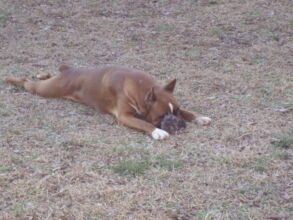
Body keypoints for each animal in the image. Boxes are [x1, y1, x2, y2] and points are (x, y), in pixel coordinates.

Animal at [4, 65, 210, 140]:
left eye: (177, 111)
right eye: (161, 116)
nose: (178, 123)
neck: (140, 87)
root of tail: (69, 70)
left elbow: (189, 112)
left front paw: (198, 117)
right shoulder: (125, 116)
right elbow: (144, 123)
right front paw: (158, 131)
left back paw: (41, 73)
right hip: (46, 90)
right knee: (26, 81)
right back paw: (10, 79)